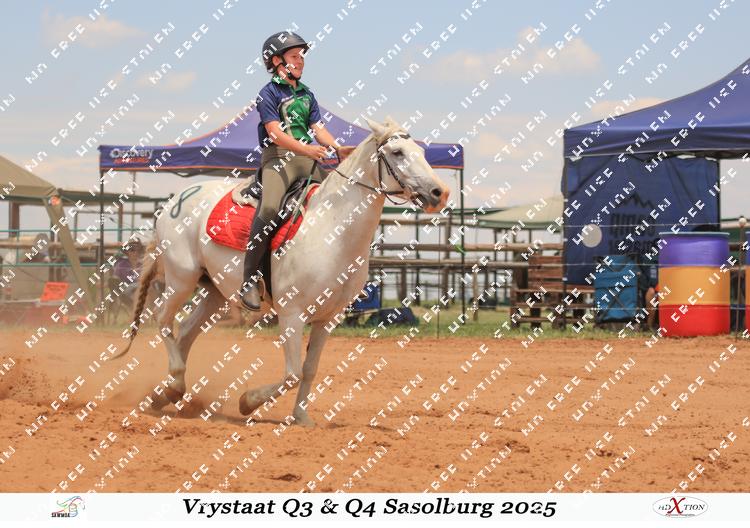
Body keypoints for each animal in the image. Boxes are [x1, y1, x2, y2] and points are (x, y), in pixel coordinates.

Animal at [115, 116, 451, 427]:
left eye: (421, 151)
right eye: (397, 152)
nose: (440, 192)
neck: (331, 228)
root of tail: (176, 199)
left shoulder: (328, 318)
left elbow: (309, 370)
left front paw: (301, 418)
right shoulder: (292, 314)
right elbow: (293, 373)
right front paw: (248, 402)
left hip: (215, 291)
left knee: (185, 332)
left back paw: (166, 394)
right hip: (182, 278)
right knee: (163, 320)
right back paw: (173, 384)